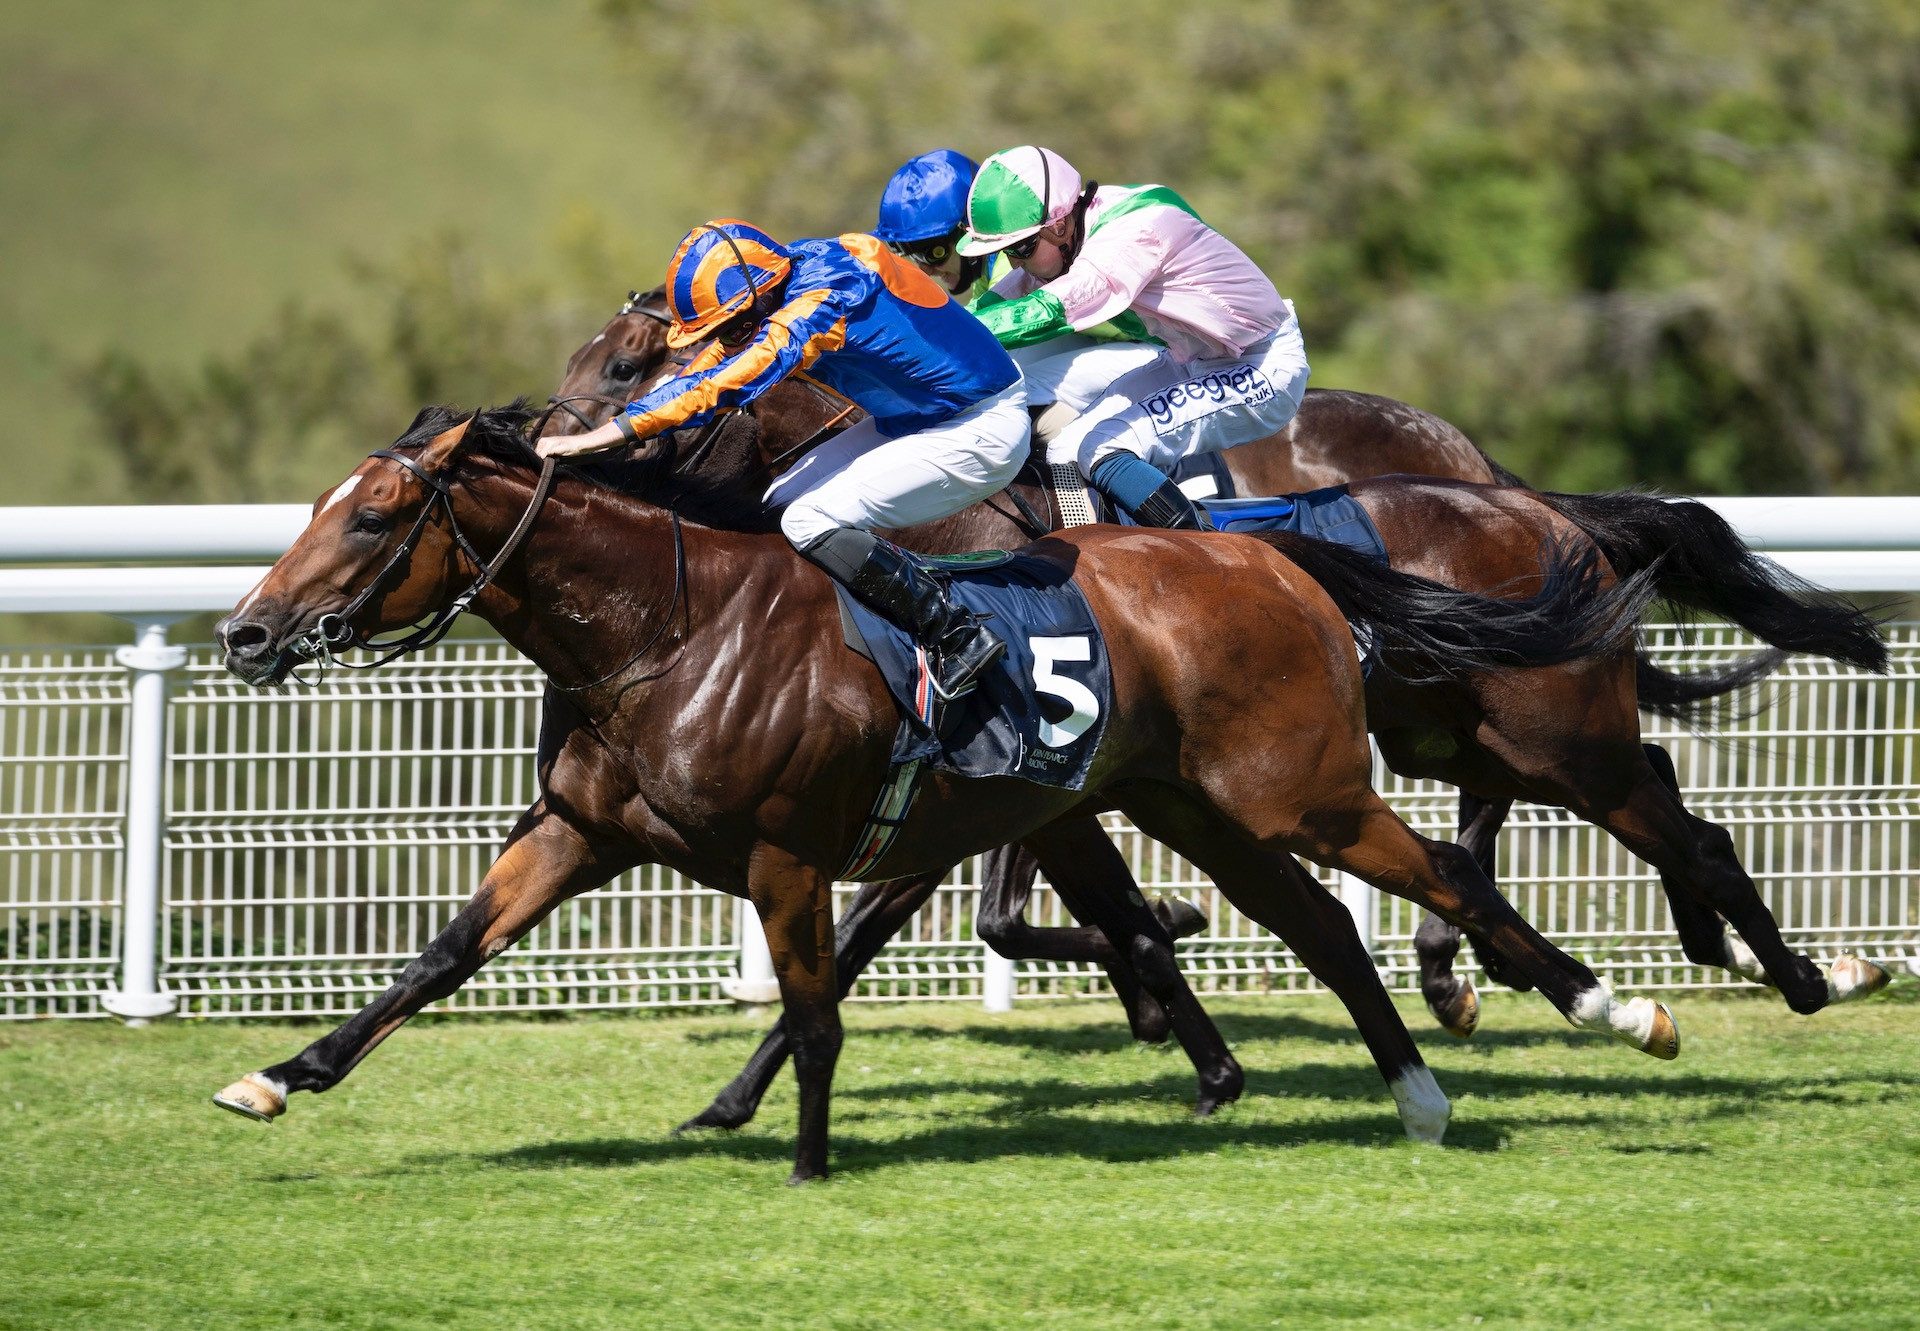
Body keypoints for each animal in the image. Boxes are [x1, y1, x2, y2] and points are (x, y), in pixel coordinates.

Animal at [214, 405, 1681, 1183]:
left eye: (369, 517)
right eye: (322, 504)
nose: (244, 631)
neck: (668, 624)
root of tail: (1270, 556)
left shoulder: (791, 853)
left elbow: (817, 1011)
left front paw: (804, 1159)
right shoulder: (583, 830)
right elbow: (442, 955)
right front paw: (281, 1073)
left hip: (1297, 792)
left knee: (1452, 873)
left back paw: (1623, 1008)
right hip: (1201, 807)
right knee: (1324, 924)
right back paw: (1419, 1095)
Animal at [545, 316, 1889, 1129]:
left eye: (627, 370)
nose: (542, 438)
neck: (935, 523)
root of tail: (1532, 501)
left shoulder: (1005, 772)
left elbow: (898, 924)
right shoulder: (1031, 779)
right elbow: (998, 920)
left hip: (1552, 736)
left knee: (1674, 824)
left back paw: (1798, 970)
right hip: (1472, 730)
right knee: (1615, 798)